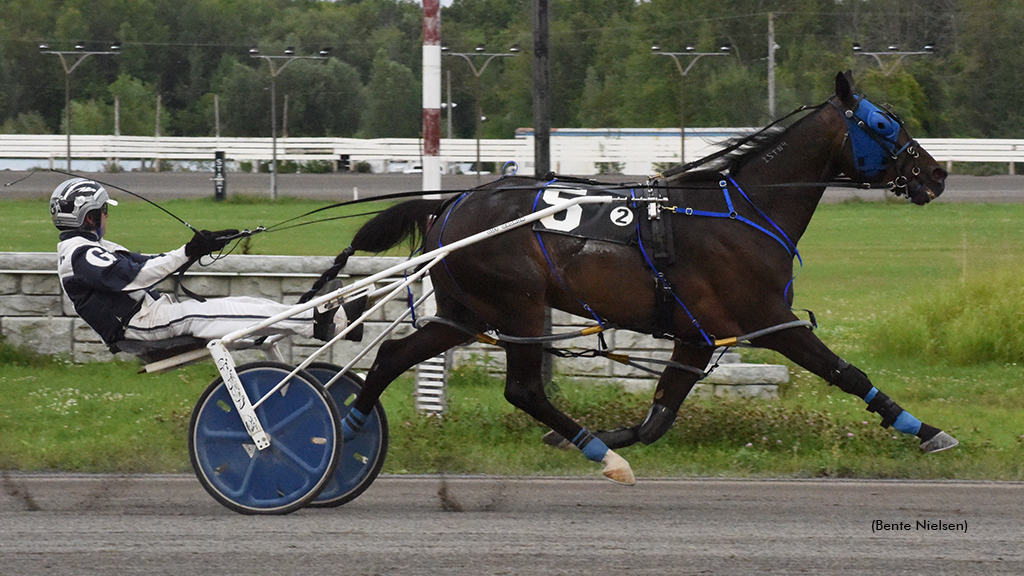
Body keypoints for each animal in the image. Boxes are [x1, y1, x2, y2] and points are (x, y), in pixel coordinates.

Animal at [321, 70, 950, 483]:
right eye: (881, 123)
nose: (937, 173)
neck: (742, 210)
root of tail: (450, 204)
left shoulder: (697, 336)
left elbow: (658, 419)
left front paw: (588, 437)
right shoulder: (769, 319)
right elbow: (845, 371)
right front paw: (926, 430)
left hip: (464, 311)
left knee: (394, 355)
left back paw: (351, 422)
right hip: (518, 305)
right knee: (523, 389)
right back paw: (600, 454)